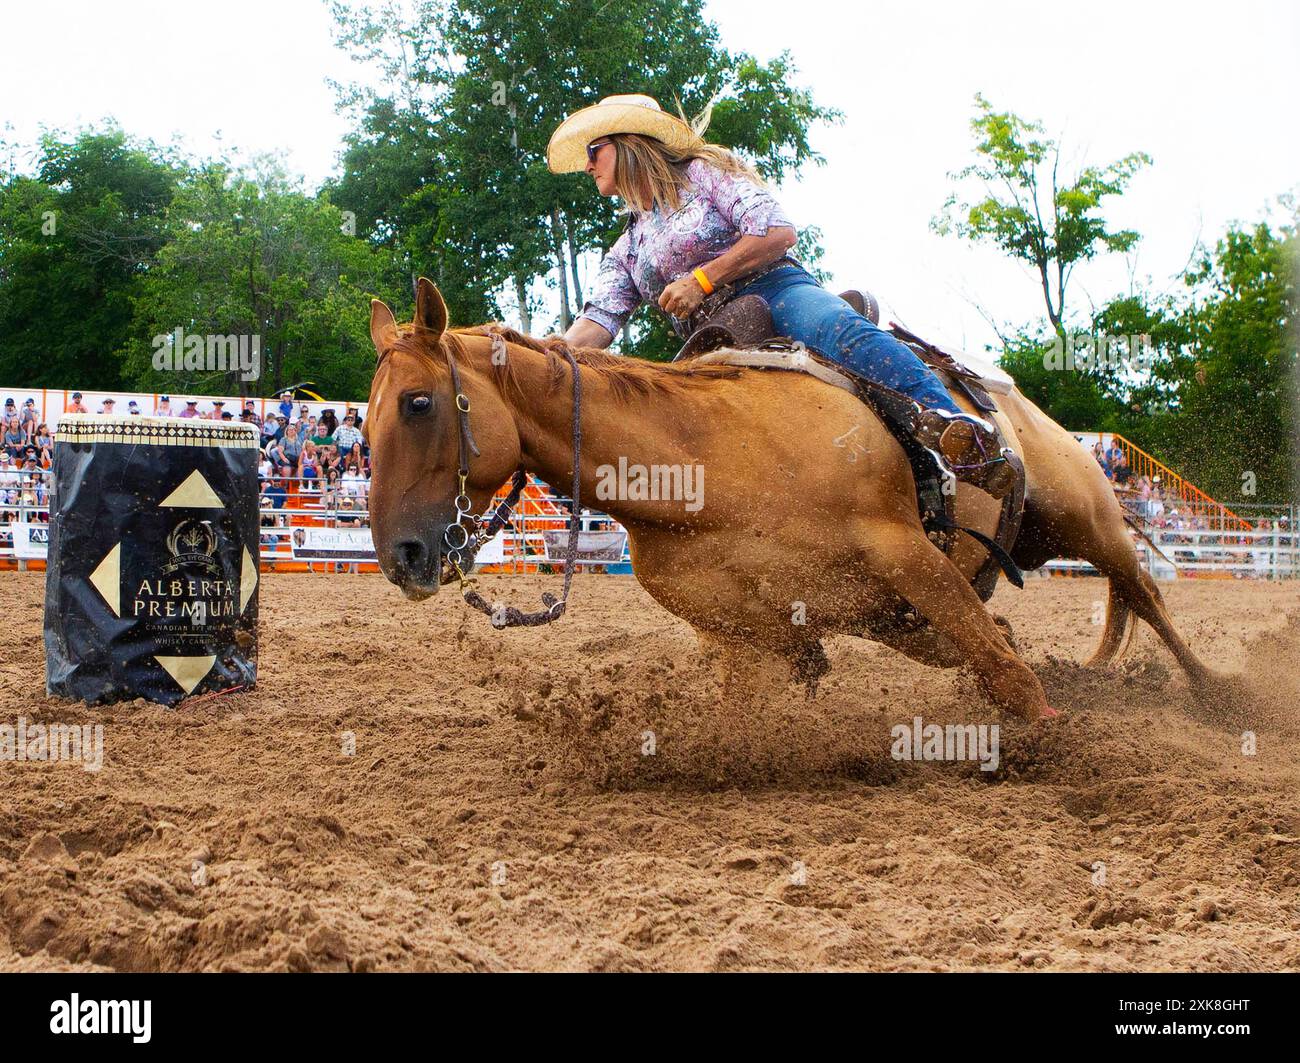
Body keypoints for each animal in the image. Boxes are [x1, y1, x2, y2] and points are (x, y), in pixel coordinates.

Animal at [364, 278, 1216, 722]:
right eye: (364, 424)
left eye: (418, 402)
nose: (400, 555)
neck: (710, 468)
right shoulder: (750, 633)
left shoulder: (905, 551)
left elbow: (1011, 674)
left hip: (1085, 516)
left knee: (1143, 596)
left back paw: (1219, 696)